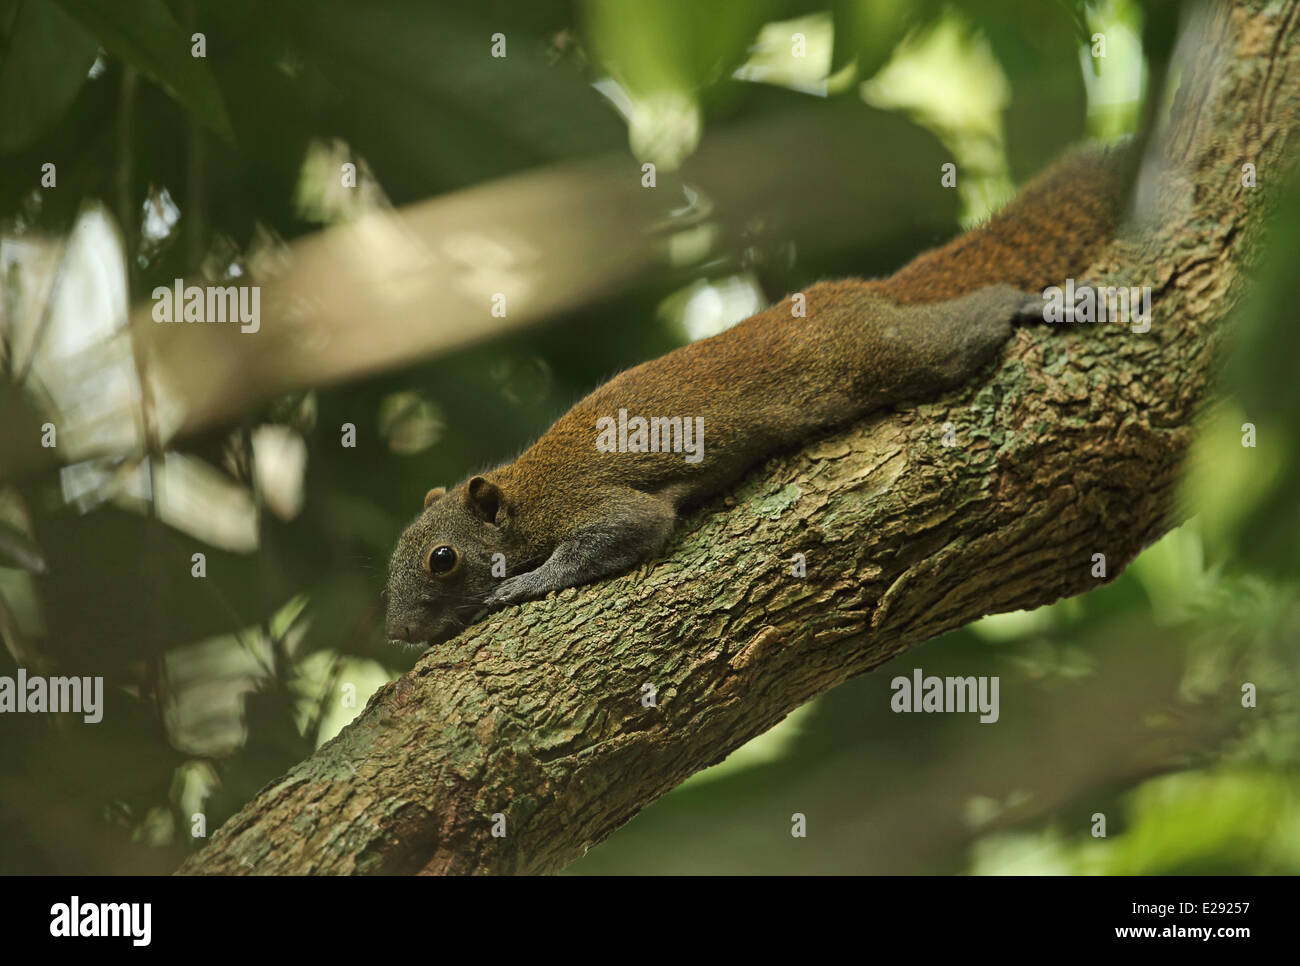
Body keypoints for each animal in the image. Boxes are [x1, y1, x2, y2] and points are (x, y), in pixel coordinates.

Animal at [385, 145, 1129, 648]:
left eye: (443, 559)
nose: (397, 633)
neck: (524, 492)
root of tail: (865, 290)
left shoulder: (589, 501)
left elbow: (627, 529)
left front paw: (523, 583)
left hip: (891, 350)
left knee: (971, 322)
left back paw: (1031, 302)